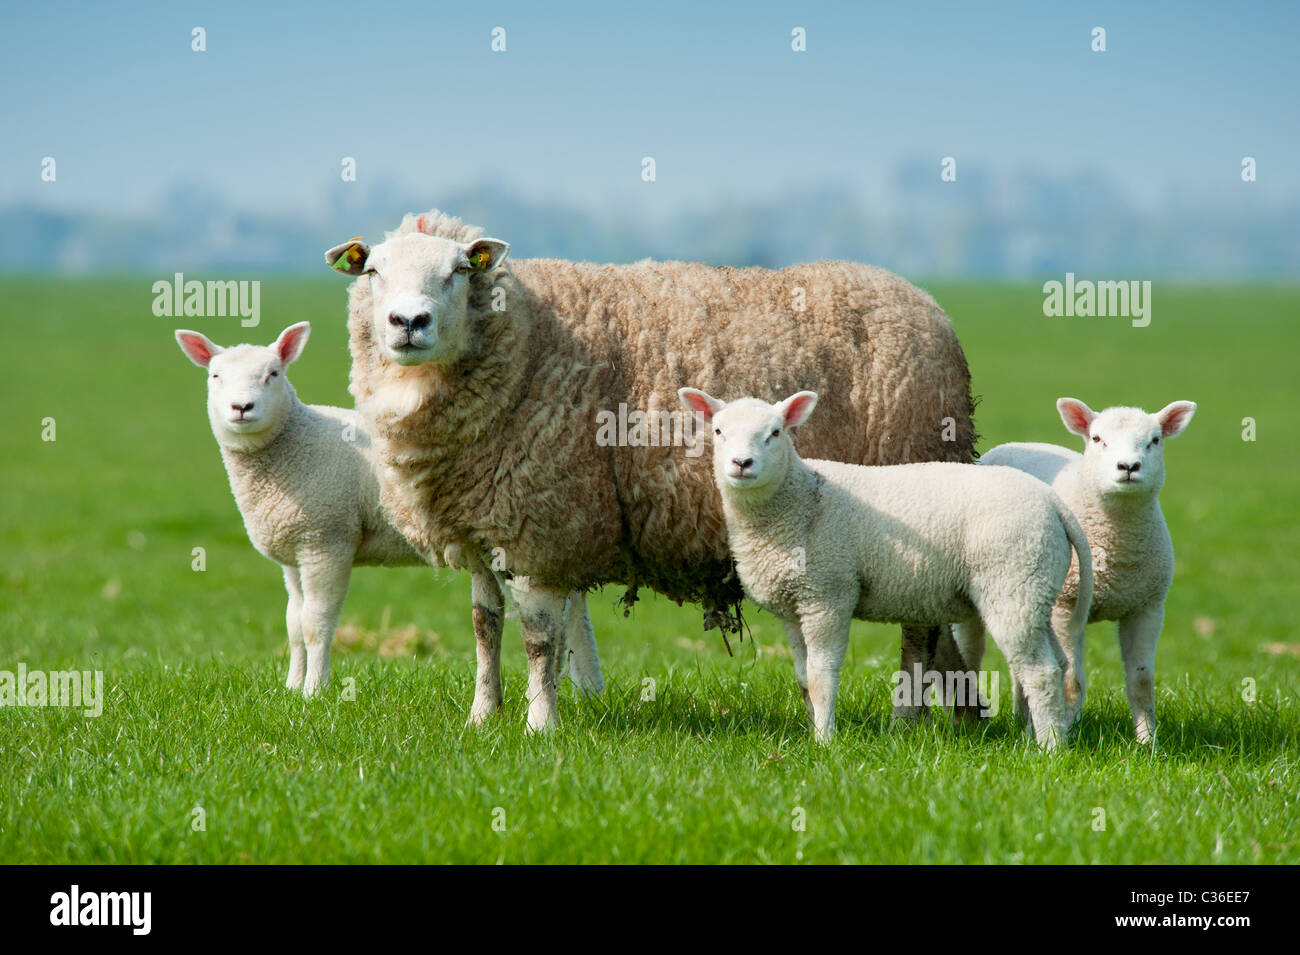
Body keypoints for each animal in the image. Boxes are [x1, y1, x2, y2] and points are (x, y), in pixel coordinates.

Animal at [174, 321, 606, 706]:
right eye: (215, 376)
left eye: (273, 374)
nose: (241, 407)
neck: (293, 443)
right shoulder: (295, 552)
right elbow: (294, 623)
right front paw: (292, 687)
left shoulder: (326, 541)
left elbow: (316, 623)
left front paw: (315, 691)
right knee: (576, 611)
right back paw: (587, 688)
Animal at [325, 210, 981, 731]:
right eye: (373, 272)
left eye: (459, 271)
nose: (409, 323)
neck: (528, 341)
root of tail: (925, 303)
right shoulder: (483, 524)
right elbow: (485, 626)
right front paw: (483, 717)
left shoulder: (543, 525)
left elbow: (539, 639)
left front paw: (539, 727)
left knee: (918, 628)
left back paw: (905, 720)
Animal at [678, 387, 1094, 750]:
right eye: (718, 431)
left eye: (775, 433)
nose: (741, 464)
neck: (799, 499)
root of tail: (1052, 502)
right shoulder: (793, 606)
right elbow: (802, 677)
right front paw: (812, 729)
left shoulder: (828, 594)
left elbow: (821, 676)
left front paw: (824, 741)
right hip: (1035, 588)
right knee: (1058, 663)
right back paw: (1042, 736)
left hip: (1013, 582)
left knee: (1039, 671)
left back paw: (1050, 749)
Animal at [973, 398, 1197, 742]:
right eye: (1097, 438)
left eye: (1155, 440)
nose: (1128, 467)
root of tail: (1014, 444)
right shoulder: (1066, 608)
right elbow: (1071, 680)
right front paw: (1068, 729)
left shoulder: (1147, 607)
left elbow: (1141, 682)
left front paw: (1148, 743)